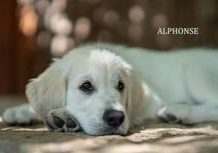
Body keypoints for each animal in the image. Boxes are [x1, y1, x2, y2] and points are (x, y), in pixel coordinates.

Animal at [2, 43, 218, 136]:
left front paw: (64, 117)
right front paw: (20, 111)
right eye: (86, 86)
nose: (115, 118)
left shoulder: (152, 101)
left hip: (195, 71)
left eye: (121, 85)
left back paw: (180, 111)